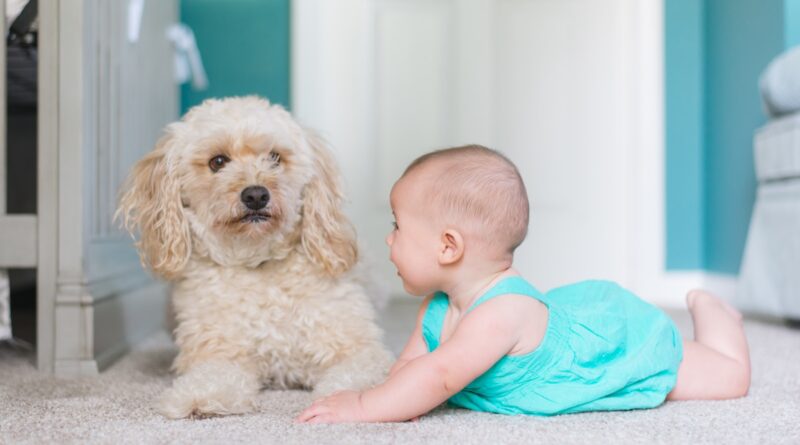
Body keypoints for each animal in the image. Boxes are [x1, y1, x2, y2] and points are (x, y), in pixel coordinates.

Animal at [116, 95, 394, 418]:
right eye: (218, 162)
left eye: (275, 157)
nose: (256, 195)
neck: (258, 263)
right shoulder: (219, 352)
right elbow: (213, 376)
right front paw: (199, 397)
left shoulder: (358, 348)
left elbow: (356, 374)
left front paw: (345, 400)